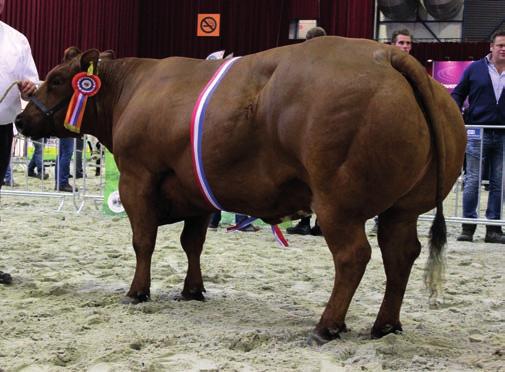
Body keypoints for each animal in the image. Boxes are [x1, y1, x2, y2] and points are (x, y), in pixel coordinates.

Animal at [14, 36, 464, 344]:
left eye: (57, 80)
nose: (19, 119)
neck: (134, 88)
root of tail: (386, 54)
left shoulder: (137, 178)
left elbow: (144, 240)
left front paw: (137, 292)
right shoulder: (193, 188)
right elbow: (192, 243)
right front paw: (192, 290)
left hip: (338, 202)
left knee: (354, 256)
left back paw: (327, 325)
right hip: (403, 207)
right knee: (400, 254)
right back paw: (385, 325)